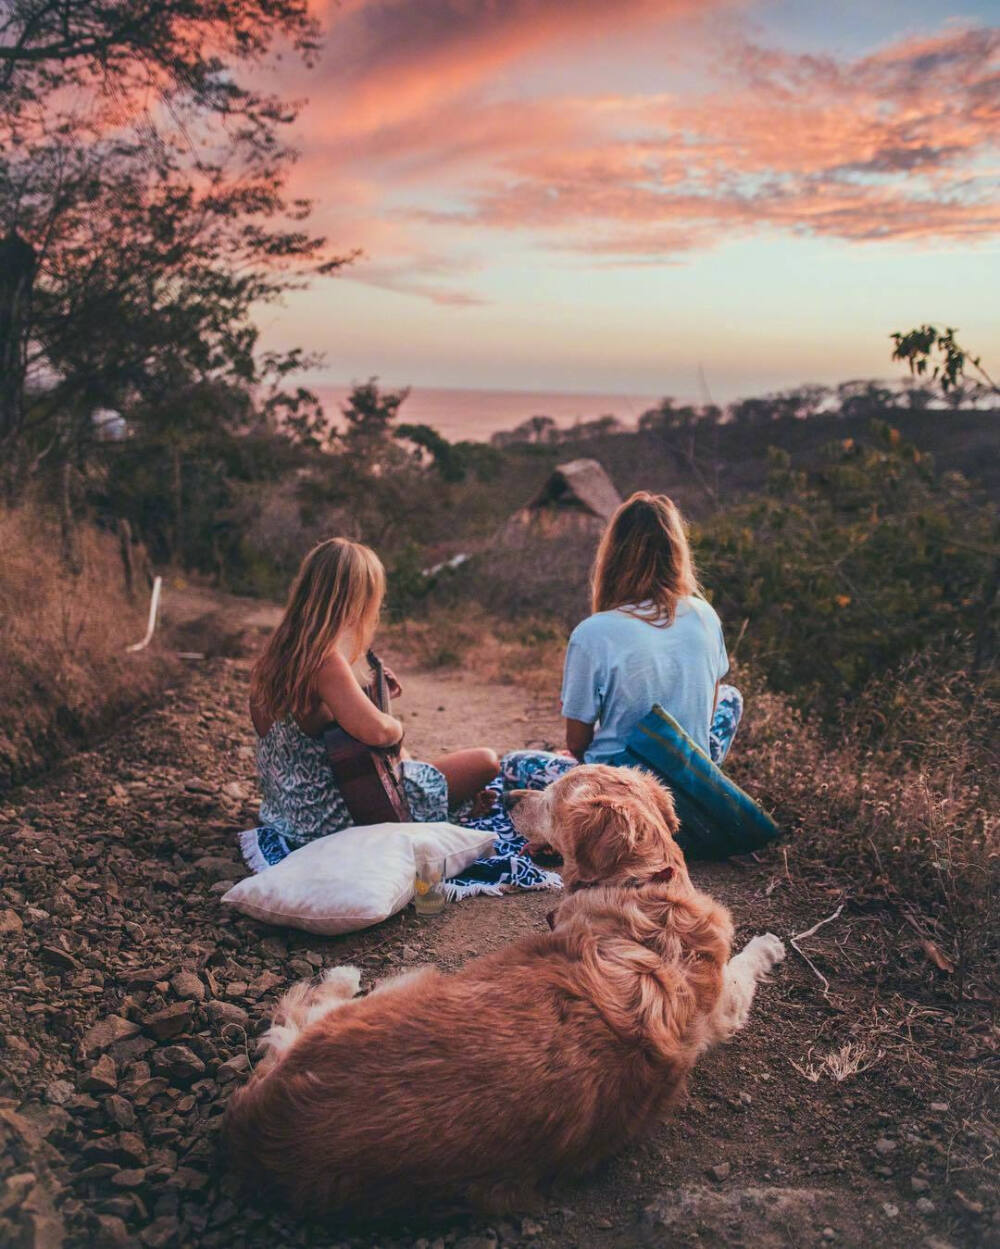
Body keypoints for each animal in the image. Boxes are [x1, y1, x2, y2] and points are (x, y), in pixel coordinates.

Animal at [222, 764, 784, 1214]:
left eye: (553, 798)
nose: (507, 796)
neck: (646, 888)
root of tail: (260, 1128)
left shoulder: (724, 1006)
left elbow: (744, 963)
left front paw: (770, 943)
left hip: (414, 980)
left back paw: (344, 975)